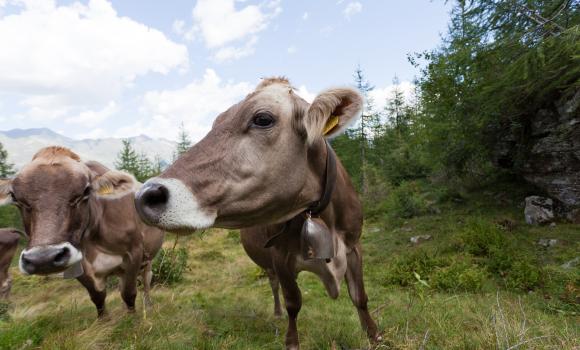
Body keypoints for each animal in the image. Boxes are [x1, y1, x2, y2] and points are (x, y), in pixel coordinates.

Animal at [0, 146, 165, 316]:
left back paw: (148, 306)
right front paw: (104, 320)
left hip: (148, 258)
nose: (43, 258)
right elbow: (98, 297)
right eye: (14, 197)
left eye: (86, 191)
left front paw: (132, 318)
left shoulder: (135, 252)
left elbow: (129, 293)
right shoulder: (77, 266)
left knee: (146, 280)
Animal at [135, 78, 380, 348]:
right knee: (274, 286)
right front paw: (291, 341)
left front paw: (374, 336)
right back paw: (277, 312)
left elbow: (360, 296)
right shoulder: (280, 257)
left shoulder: (354, 246)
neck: (321, 216)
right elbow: (293, 302)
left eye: (263, 119)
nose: (145, 194)